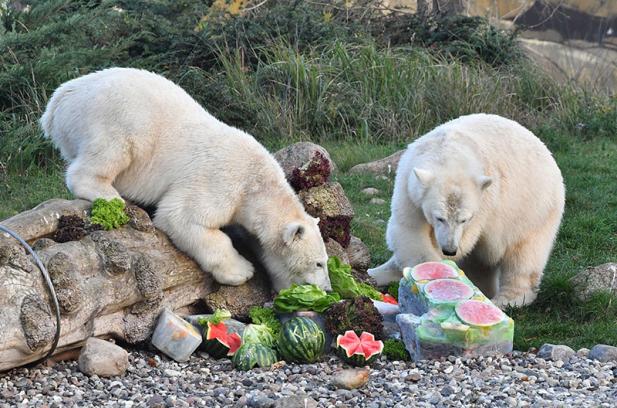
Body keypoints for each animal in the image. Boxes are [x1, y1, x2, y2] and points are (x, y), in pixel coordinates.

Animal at [40, 66, 332, 290]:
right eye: (319, 263)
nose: (329, 290)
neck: (258, 183)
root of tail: (59, 100)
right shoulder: (224, 181)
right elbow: (181, 216)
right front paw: (241, 270)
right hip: (115, 118)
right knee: (109, 153)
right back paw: (109, 195)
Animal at [368, 113, 564, 308]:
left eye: (464, 219)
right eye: (439, 217)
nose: (449, 250)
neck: (449, 154)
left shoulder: (484, 203)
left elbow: (467, 241)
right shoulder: (410, 189)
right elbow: (409, 230)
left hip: (533, 209)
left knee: (523, 256)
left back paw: (505, 299)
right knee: (481, 261)